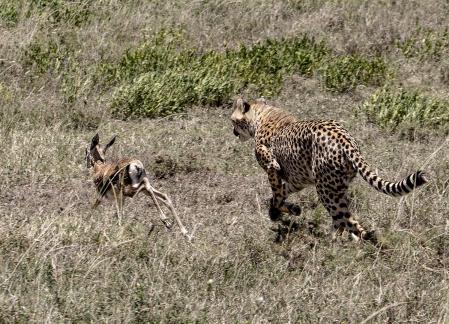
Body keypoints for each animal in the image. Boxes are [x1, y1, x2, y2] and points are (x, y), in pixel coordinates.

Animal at [231, 97, 428, 239]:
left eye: (233, 121)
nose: (232, 132)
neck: (262, 114)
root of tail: (345, 138)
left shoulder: (273, 167)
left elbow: (277, 192)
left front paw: (279, 211)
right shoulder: (297, 180)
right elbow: (280, 193)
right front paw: (285, 210)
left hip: (326, 190)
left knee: (345, 220)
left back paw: (333, 248)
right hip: (336, 186)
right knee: (345, 219)